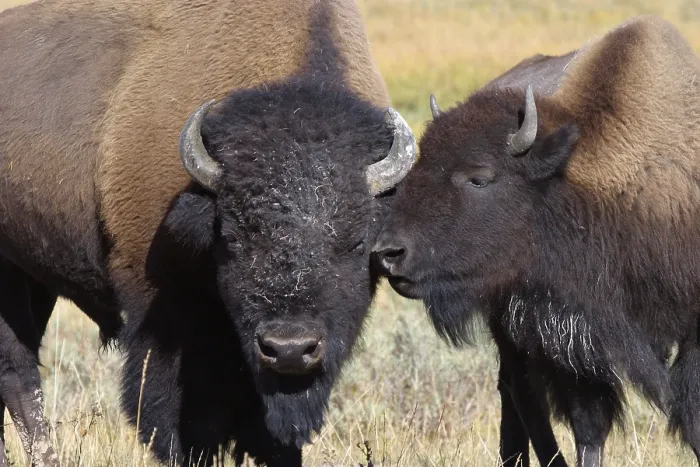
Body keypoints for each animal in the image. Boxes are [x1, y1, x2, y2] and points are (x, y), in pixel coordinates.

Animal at [0, 0, 416, 465]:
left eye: (357, 242)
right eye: (232, 238)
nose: (289, 348)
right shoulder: (164, 314)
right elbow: (182, 417)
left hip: (33, 278)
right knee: (18, 374)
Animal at [374, 15, 700, 467]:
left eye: (479, 177)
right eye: (418, 167)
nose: (389, 253)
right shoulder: (573, 342)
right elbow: (588, 429)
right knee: (519, 396)